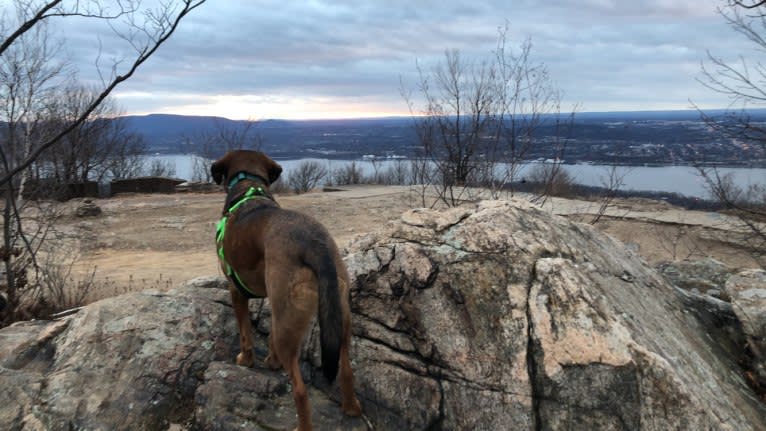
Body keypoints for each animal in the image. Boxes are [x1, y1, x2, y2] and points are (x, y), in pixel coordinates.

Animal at [212, 150, 364, 430]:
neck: (248, 189)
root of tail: (314, 244)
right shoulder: (275, 303)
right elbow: (269, 334)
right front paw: (271, 362)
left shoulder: (236, 291)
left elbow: (245, 333)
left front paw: (246, 360)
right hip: (339, 316)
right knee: (346, 371)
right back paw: (351, 408)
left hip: (291, 323)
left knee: (300, 391)